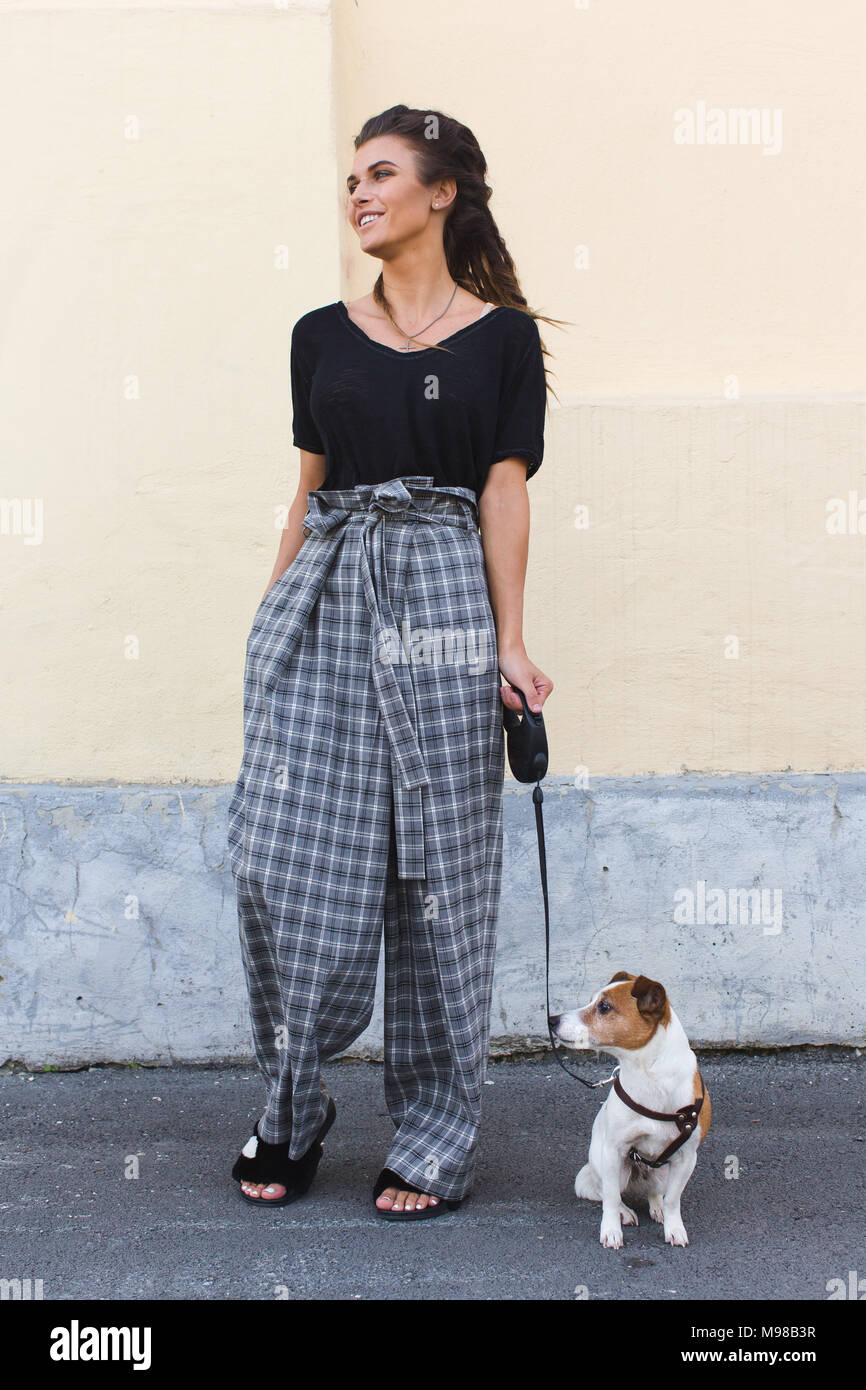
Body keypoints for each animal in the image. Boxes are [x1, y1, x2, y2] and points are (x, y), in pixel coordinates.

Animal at [553, 967, 708, 1251]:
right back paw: (625, 1211)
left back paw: (656, 1207)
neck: (649, 1074)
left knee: (656, 1192)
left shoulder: (686, 1158)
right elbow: (611, 1198)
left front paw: (674, 1229)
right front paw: (611, 1230)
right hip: (608, 1164)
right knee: (607, 1192)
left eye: (604, 1007)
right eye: (592, 1001)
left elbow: (673, 1200)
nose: (552, 1020)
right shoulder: (614, 1151)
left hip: (664, 1172)